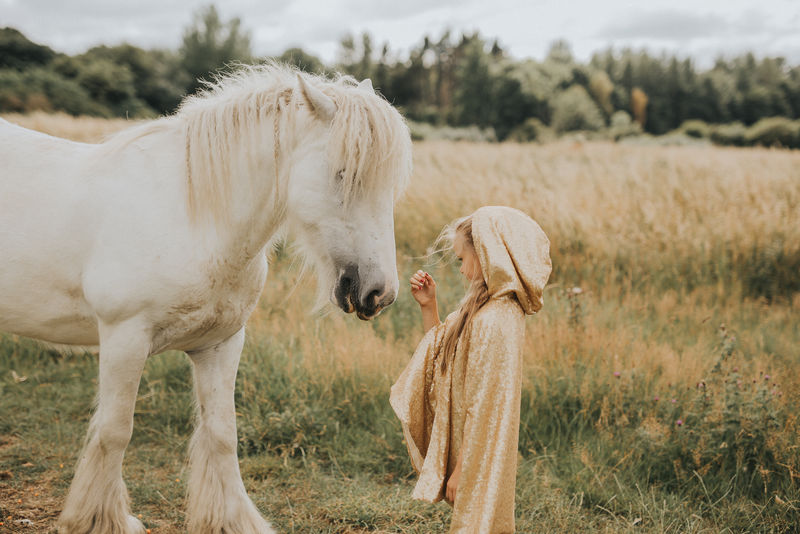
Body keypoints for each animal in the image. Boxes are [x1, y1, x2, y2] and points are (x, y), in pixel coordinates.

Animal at [0, 63, 412, 534]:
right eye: (343, 173)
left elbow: (221, 433)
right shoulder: (124, 339)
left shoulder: (220, 344)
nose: (379, 292)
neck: (193, 218)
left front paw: (231, 520)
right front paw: (99, 520)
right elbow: (115, 431)